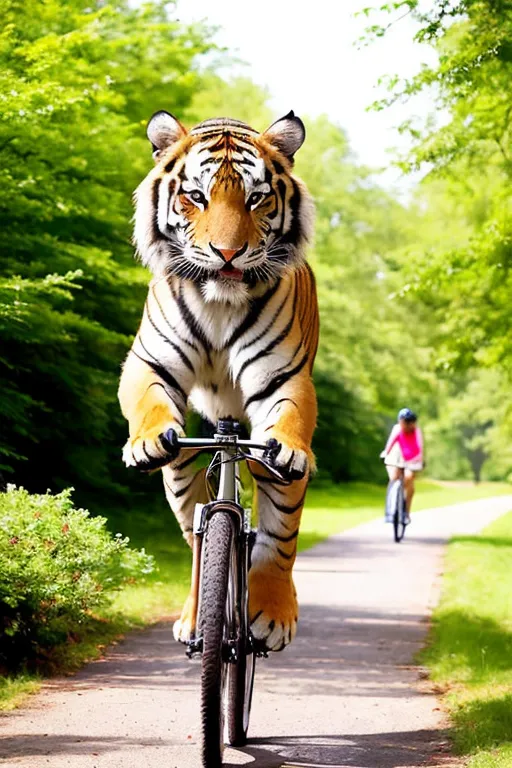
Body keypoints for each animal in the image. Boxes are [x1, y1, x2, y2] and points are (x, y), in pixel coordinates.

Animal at [118, 109, 318, 648]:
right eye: (196, 196)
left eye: (256, 198)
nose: (227, 253)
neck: (219, 303)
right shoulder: (148, 360)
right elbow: (146, 399)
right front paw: (144, 440)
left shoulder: (283, 378)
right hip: (183, 473)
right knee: (196, 536)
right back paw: (194, 619)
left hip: (269, 465)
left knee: (278, 536)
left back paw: (273, 616)